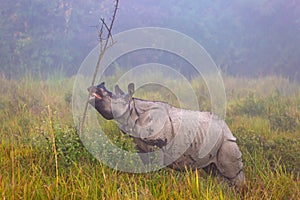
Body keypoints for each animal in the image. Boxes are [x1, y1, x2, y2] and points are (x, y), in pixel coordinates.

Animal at [88, 82, 245, 187]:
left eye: (109, 96)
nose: (93, 87)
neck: (133, 110)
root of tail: (227, 128)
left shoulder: (157, 144)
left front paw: (153, 184)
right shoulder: (141, 147)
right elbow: (145, 167)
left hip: (226, 140)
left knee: (232, 174)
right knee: (216, 173)